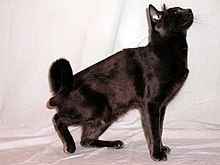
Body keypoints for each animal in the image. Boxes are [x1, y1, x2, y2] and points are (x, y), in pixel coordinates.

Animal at [47, 4, 192, 161]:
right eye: (176, 12)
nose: (190, 10)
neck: (174, 50)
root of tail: (66, 84)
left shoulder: (162, 106)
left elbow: (159, 128)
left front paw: (162, 148)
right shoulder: (151, 103)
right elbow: (154, 131)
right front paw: (157, 154)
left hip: (105, 116)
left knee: (86, 139)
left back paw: (114, 143)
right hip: (93, 109)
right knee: (58, 119)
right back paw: (69, 146)